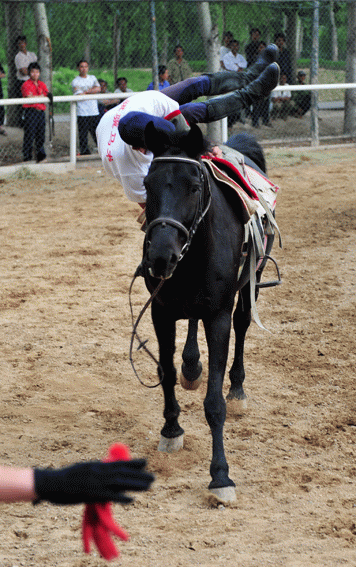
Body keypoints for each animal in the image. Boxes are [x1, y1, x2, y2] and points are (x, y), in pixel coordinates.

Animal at [140, 123, 280, 502]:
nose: (161, 256)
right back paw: (192, 367)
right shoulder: (160, 312)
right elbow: (166, 372)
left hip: (249, 286)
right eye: (147, 184)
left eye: (194, 186)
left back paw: (238, 390)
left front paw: (220, 476)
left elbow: (214, 403)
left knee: (242, 327)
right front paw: (171, 429)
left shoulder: (218, 316)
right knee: (190, 328)